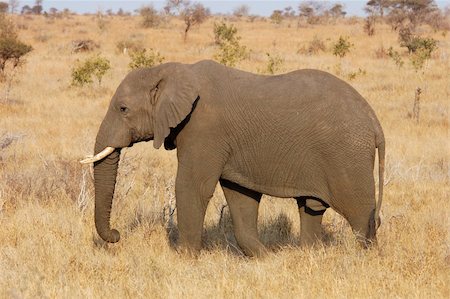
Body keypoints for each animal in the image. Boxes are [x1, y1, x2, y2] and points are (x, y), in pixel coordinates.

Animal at [80, 60, 384, 258]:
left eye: (123, 109)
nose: (117, 235)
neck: (171, 71)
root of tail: (373, 118)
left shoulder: (204, 130)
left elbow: (192, 187)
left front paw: (184, 259)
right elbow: (240, 195)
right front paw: (265, 259)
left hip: (347, 155)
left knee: (360, 215)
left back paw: (363, 260)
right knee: (312, 207)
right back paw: (309, 255)